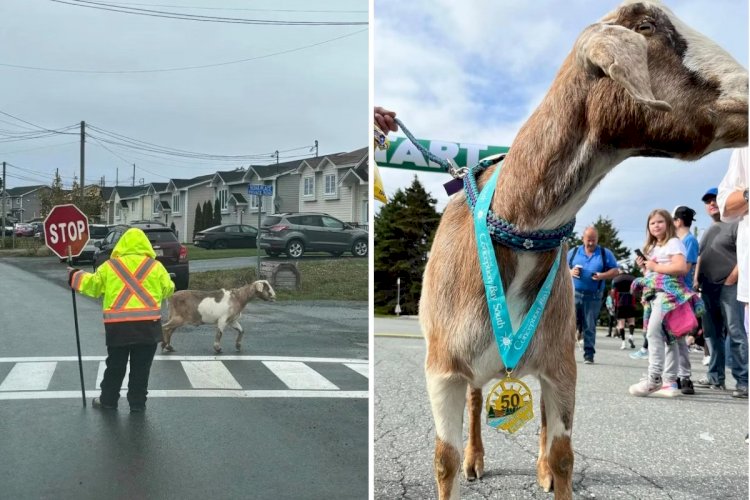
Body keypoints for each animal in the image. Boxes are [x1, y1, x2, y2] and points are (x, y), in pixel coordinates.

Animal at [420, 1, 748, 498]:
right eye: (647, 26)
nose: (746, 90)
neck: (519, 229)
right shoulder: (442, 369)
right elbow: (445, 460)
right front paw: (465, 462)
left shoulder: (561, 365)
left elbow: (563, 455)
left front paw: (549, 469)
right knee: (477, 404)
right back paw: (477, 459)